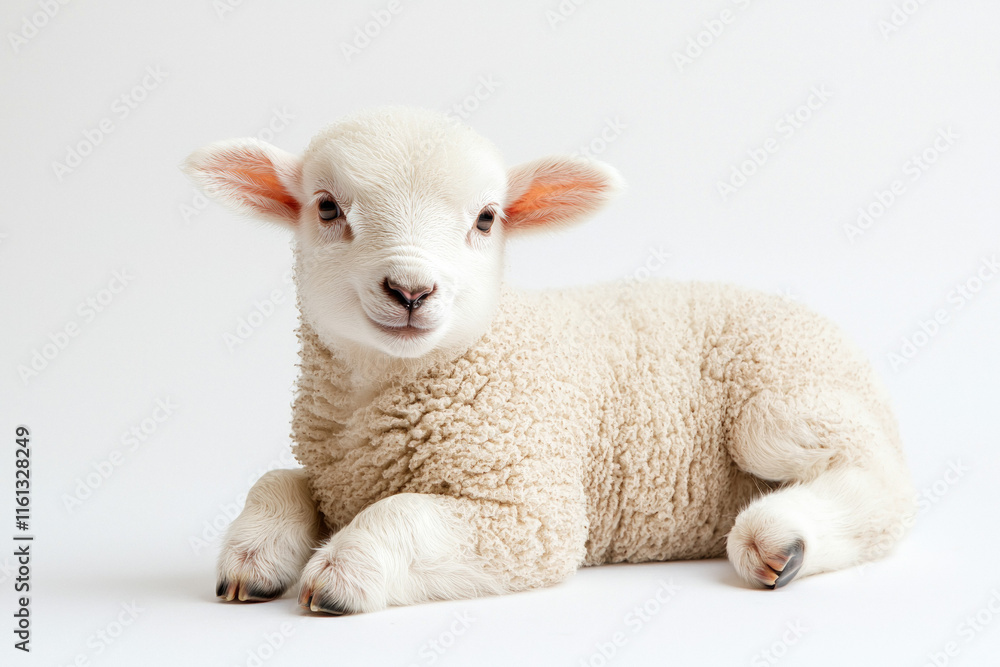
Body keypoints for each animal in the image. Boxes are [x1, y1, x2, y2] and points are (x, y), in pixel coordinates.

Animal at [183, 106, 915, 614]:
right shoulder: (340, 475)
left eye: (486, 219)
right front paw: (254, 553)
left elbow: (403, 514)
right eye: (327, 208)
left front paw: (345, 571)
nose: (411, 291)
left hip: (782, 403)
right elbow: (280, 478)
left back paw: (781, 538)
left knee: (882, 485)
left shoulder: (530, 510)